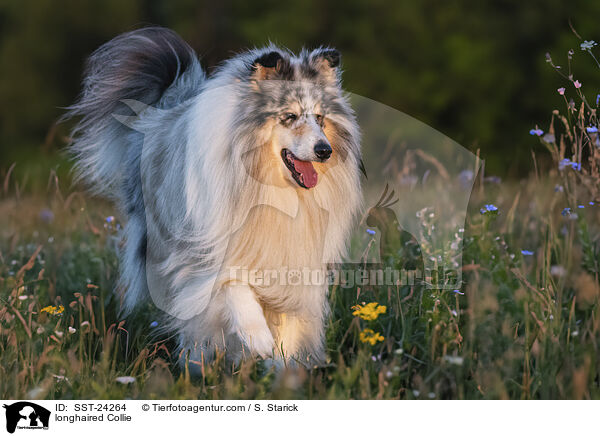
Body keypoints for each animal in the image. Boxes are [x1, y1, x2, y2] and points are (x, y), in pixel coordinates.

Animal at [68, 27, 364, 366]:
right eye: (289, 116)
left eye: (320, 117)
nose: (325, 151)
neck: (269, 188)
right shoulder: (205, 249)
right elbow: (232, 284)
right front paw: (258, 339)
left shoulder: (294, 262)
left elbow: (289, 322)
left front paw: (282, 361)